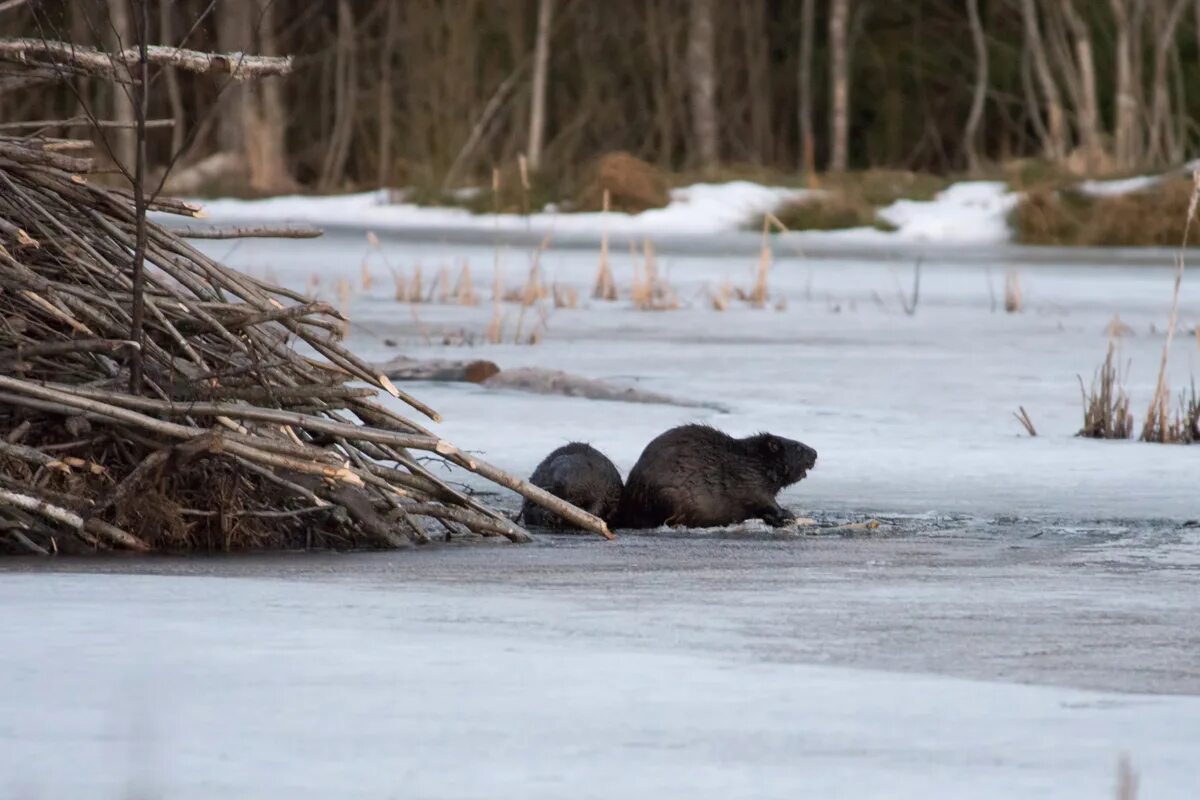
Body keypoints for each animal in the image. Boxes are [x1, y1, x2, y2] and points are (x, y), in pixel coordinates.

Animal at [619, 424, 816, 532]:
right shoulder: (749, 481)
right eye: (798, 447)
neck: (753, 462)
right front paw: (787, 515)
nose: (815, 453)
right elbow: (763, 500)